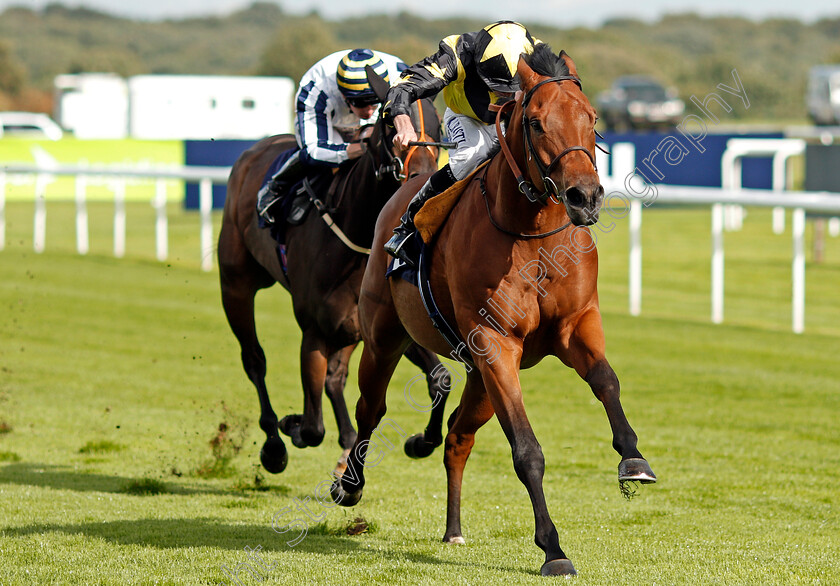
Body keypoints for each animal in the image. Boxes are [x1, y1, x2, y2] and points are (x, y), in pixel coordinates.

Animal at [218, 78, 452, 474]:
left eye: (437, 125)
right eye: (390, 122)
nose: (421, 171)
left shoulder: (381, 328)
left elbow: (440, 379)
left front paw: (420, 442)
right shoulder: (315, 332)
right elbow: (312, 427)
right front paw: (291, 426)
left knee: (335, 378)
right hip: (236, 284)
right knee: (254, 360)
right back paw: (274, 444)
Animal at [330, 43, 656, 572]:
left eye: (590, 118)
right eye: (538, 122)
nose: (585, 196)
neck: (531, 234)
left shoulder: (574, 325)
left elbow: (607, 380)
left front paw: (634, 459)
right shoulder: (496, 344)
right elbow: (527, 451)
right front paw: (553, 549)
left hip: (478, 377)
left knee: (458, 437)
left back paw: (453, 527)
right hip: (384, 338)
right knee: (370, 410)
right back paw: (350, 484)